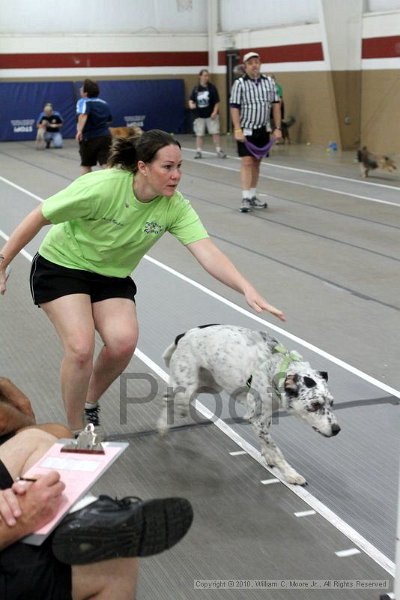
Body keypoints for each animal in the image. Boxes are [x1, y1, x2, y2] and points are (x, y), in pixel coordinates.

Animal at [158, 326, 340, 486]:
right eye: (315, 405)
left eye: (331, 402)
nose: (337, 429)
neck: (274, 367)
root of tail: (186, 334)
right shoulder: (256, 419)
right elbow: (276, 451)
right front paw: (290, 474)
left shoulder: (265, 418)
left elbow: (267, 442)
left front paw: (269, 457)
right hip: (186, 386)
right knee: (169, 399)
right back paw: (163, 424)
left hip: (208, 385)